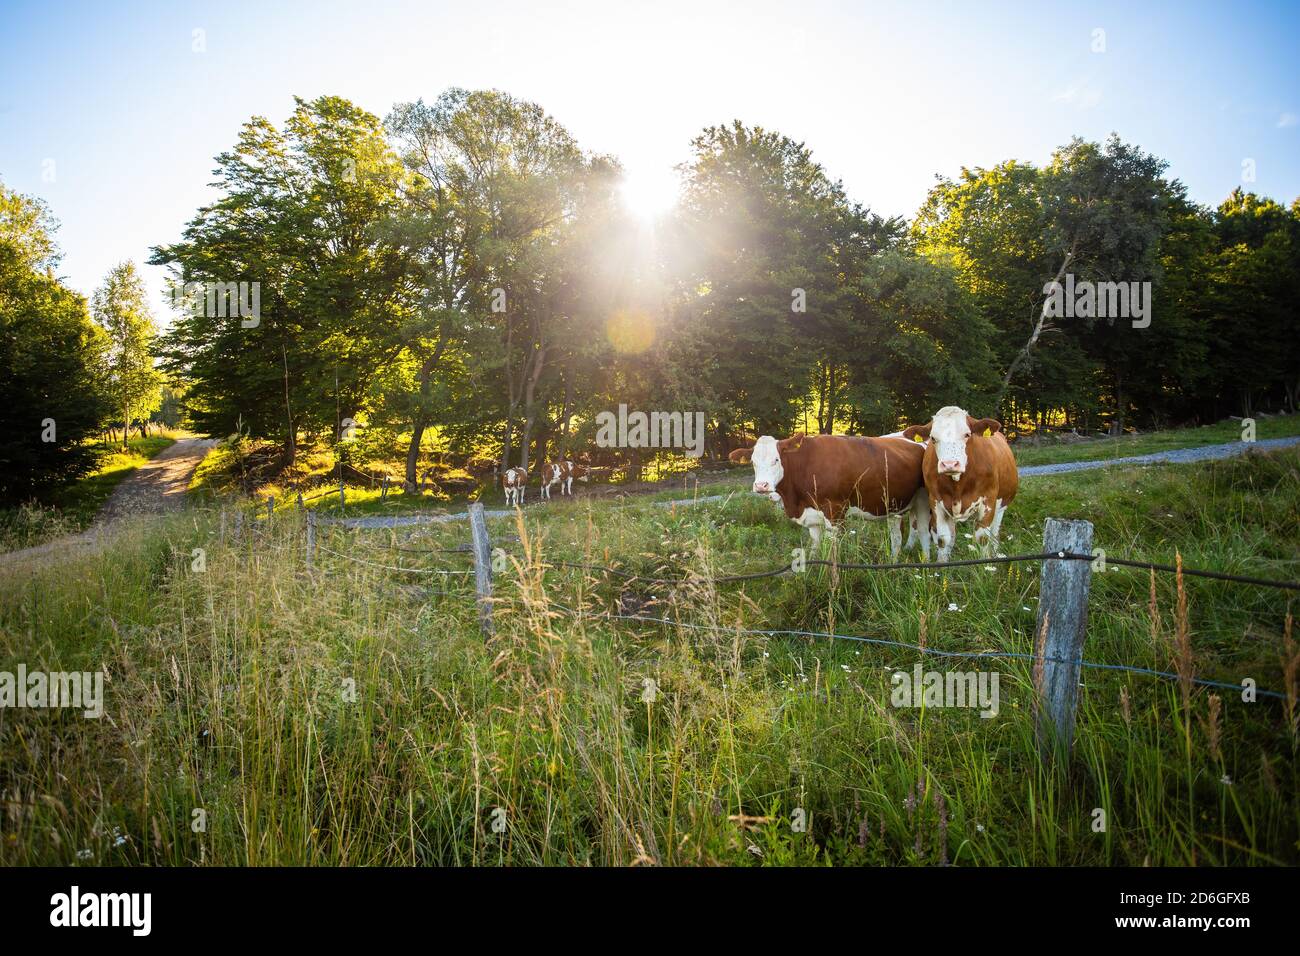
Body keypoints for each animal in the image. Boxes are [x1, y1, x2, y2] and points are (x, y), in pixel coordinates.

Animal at [728, 433, 930, 557]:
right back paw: (893, 562)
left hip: (923, 502)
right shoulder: (812, 517)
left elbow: (833, 554)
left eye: (776, 459)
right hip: (895, 507)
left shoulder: (835, 514)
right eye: (753, 462)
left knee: (924, 534)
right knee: (896, 537)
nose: (761, 486)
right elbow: (815, 549)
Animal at [902, 406, 1019, 561]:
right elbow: (943, 539)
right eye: (933, 438)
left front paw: (985, 564)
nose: (949, 464)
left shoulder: (988, 501)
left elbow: (983, 537)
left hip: (1001, 506)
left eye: (967, 434)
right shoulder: (936, 501)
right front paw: (942, 564)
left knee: (994, 532)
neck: (958, 483)